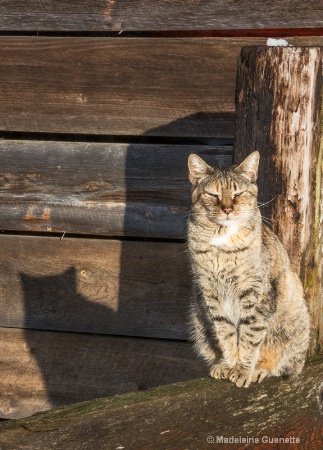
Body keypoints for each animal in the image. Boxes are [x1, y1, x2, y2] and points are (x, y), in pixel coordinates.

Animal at [187, 151, 312, 386]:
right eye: (213, 194)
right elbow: (225, 333)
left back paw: (261, 369)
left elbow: (249, 336)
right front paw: (229, 364)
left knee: (284, 362)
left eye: (238, 193)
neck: (223, 242)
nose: (227, 209)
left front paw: (244, 370)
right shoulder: (210, 294)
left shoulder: (255, 295)